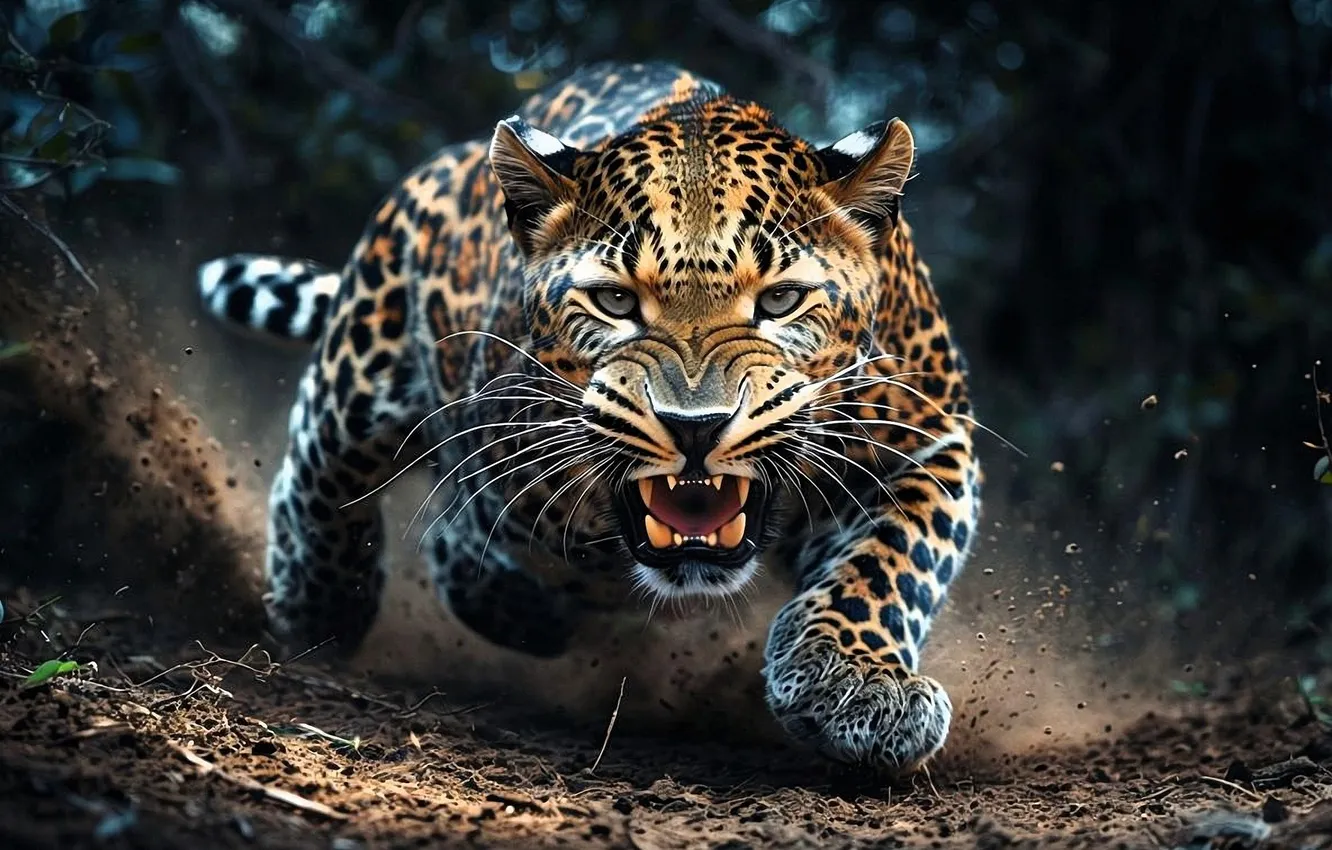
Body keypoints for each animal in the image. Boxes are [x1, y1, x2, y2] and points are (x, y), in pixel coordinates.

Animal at [195, 61, 983, 777]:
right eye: (615, 301)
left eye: (783, 300)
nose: (696, 427)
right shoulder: (501, 475)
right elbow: (490, 546)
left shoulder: (931, 441)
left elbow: (891, 560)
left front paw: (853, 682)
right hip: (368, 349)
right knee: (327, 462)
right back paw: (321, 604)